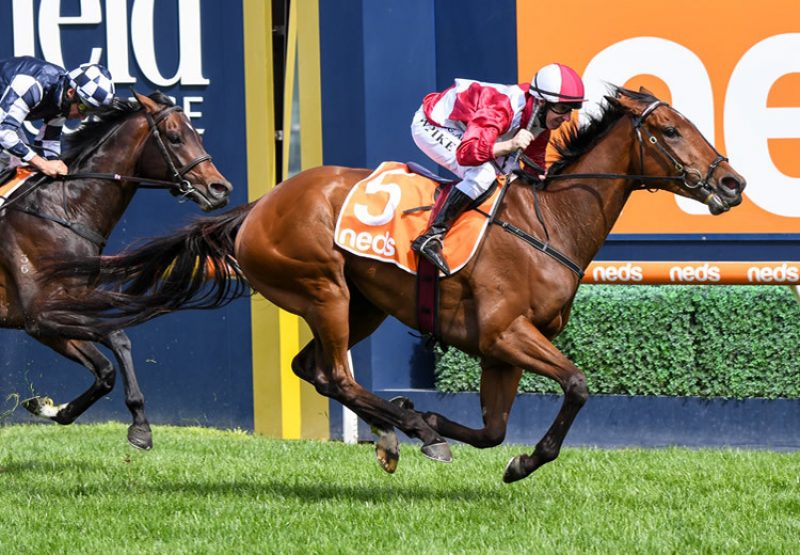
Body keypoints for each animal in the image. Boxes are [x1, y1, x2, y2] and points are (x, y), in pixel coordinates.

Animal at [3, 89, 233, 450]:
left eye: (197, 134)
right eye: (175, 137)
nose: (219, 189)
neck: (65, 210)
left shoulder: (61, 314)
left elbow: (109, 365)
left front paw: (50, 408)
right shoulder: (39, 318)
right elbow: (115, 337)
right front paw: (140, 426)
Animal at [42, 87, 744, 482]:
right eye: (671, 130)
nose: (732, 182)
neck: (549, 222)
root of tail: (259, 206)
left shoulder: (500, 350)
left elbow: (493, 431)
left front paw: (443, 423)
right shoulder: (504, 333)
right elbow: (575, 385)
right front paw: (502, 454)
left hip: (364, 305)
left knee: (315, 370)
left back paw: (393, 431)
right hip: (324, 287)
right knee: (336, 374)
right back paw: (412, 434)